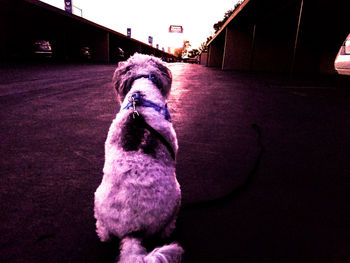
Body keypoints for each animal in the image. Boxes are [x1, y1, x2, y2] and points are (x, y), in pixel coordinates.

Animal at [94, 53, 185, 263]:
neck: (141, 96)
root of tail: (132, 232)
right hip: (177, 196)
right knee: (166, 228)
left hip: (97, 200)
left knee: (103, 231)